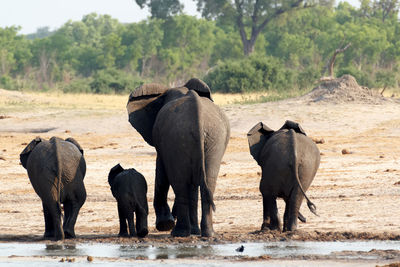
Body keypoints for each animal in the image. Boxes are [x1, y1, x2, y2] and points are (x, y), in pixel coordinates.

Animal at [126, 78, 230, 238]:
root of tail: (197, 112)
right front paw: (194, 231)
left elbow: (161, 173)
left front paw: (165, 224)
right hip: (213, 138)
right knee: (207, 182)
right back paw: (206, 234)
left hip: (180, 137)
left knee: (180, 183)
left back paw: (179, 233)